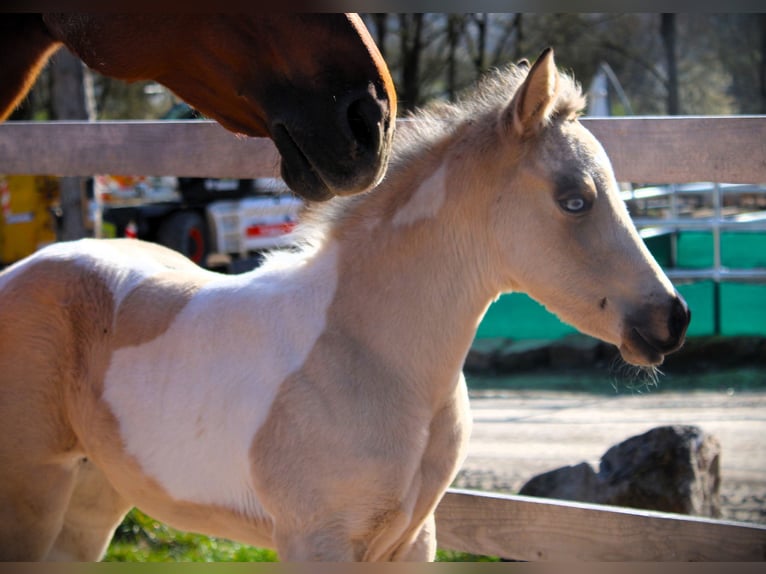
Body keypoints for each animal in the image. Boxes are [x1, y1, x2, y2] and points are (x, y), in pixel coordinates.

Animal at [0, 48, 690, 561]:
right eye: (574, 199)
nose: (671, 320)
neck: (374, 355)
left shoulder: (412, 540)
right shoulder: (317, 540)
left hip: (93, 495)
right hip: (33, 493)